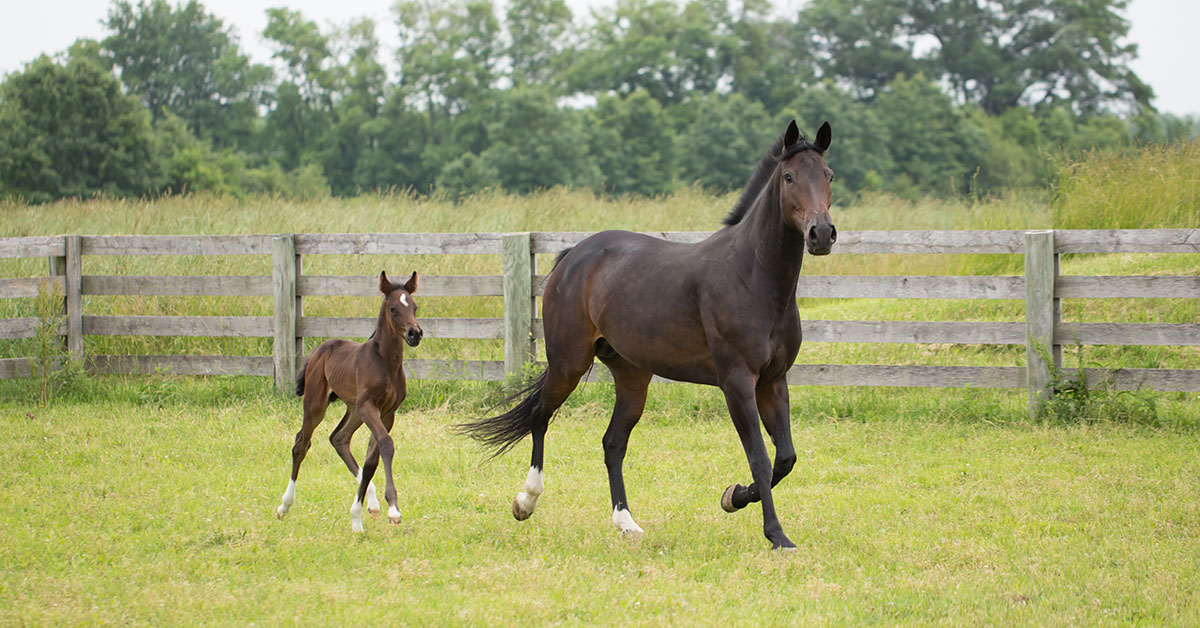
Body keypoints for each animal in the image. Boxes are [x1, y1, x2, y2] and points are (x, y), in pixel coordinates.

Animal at [275, 271, 423, 533]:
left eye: (414, 307)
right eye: (393, 309)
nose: (414, 334)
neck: (385, 362)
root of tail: (318, 351)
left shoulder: (387, 412)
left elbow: (372, 458)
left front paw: (358, 515)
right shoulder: (369, 407)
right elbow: (386, 444)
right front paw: (393, 510)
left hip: (353, 410)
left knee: (339, 438)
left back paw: (371, 502)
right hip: (317, 404)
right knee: (301, 443)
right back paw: (284, 506)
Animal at [457, 120, 835, 550]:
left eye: (828, 175)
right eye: (789, 177)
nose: (822, 234)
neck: (752, 277)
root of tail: (572, 258)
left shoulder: (773, 381)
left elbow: (784, 457)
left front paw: (733, 497)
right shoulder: (737, 382)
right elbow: (758, 457)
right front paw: (776, 535)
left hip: (632, 376)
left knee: (612, 442)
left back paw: (626, 523)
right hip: (569, 363)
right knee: (540, 415)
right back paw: (526, 501)